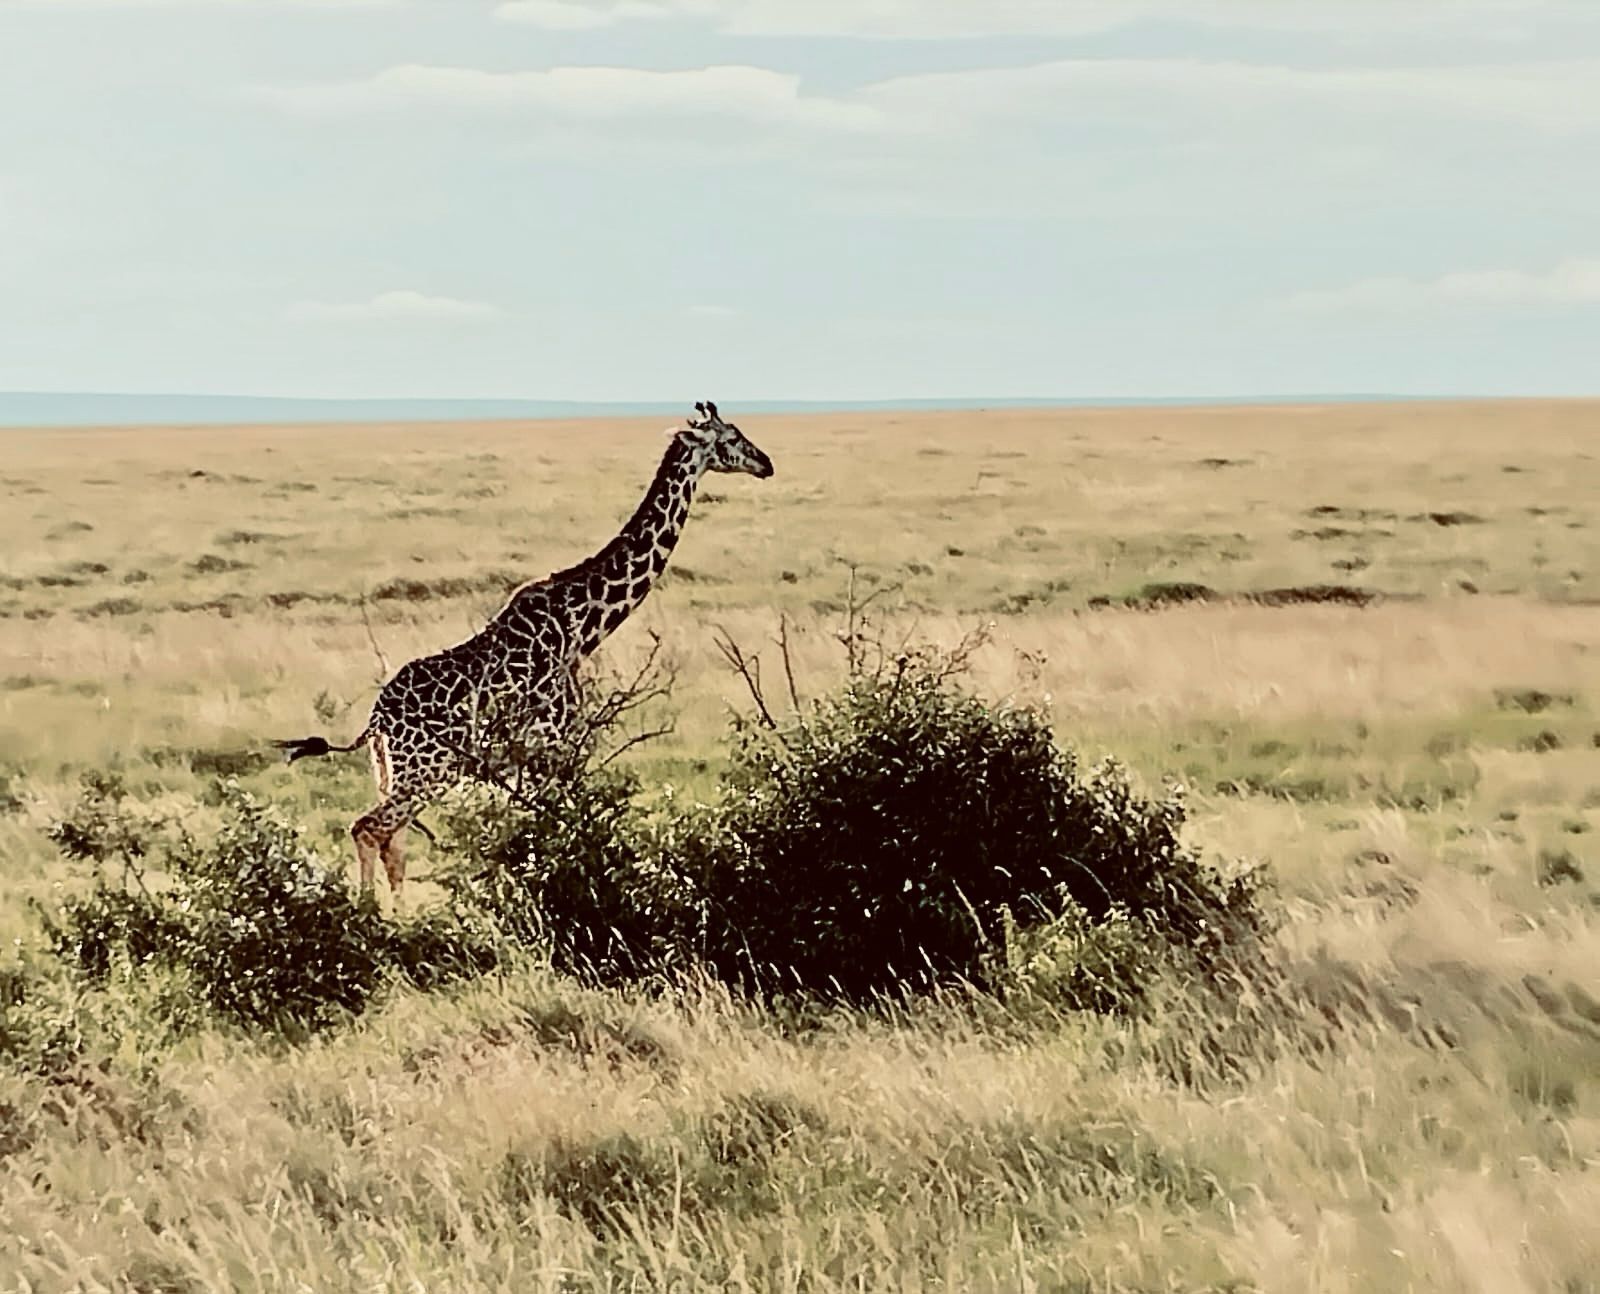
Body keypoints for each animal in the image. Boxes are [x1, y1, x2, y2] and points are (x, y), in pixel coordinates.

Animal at [275, 401, 774, 892]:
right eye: (731, 437)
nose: (765, 463)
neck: (582, 628)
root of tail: (376, 719)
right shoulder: (551, 745)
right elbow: (547, 838)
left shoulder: (532, 760)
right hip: (428, 769)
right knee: (368, 828)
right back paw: (367, 911)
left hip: (390, 770)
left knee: (391, 845)